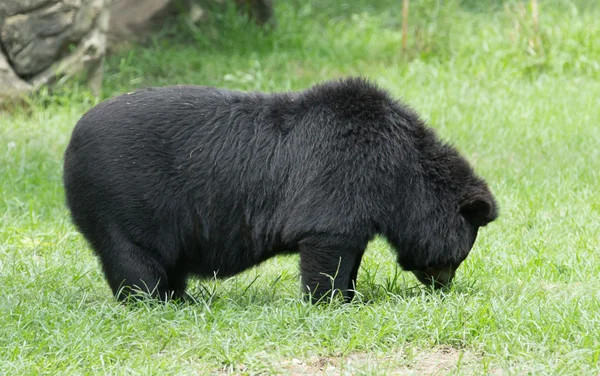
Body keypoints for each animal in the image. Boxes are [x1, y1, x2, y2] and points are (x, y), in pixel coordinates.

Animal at [64, 77, 496, 302]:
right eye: (457, 256)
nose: (443, 285)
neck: (400, 172)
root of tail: (71, 142)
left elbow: (351, 250)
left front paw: (349, 295)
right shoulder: (340, 180)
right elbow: (327, 246)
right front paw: (329, 302)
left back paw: (182, 298)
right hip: (121, 202)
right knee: (134, 259)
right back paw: (154, 301)